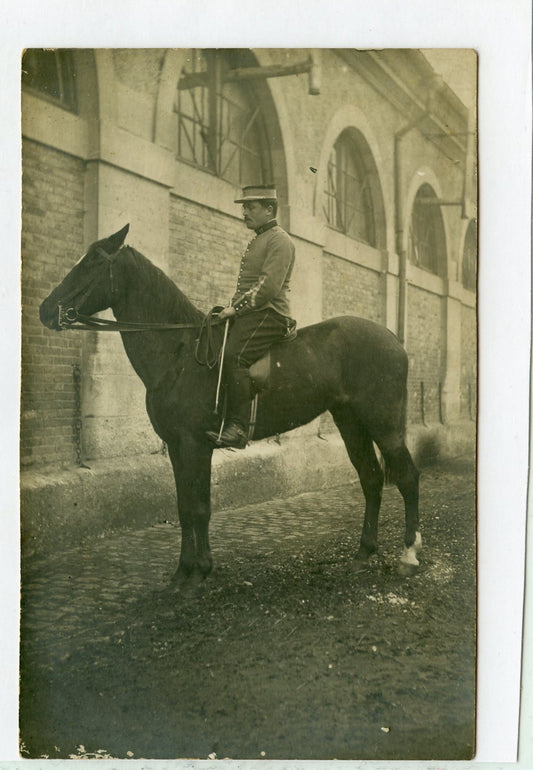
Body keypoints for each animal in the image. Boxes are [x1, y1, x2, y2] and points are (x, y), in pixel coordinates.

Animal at [38, 225, 420, 584]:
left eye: (93, 262)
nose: (45, 310)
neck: (179, 352)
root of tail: (393, 339)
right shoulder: (177, 446)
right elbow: (185, 506)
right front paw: (184, 570)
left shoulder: (195, 444)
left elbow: (199, 507)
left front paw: (198, 571)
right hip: (350, 422)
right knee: (371, 478)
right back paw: (364, 552)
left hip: (384, 425)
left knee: (407, 476)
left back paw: (409, 556)